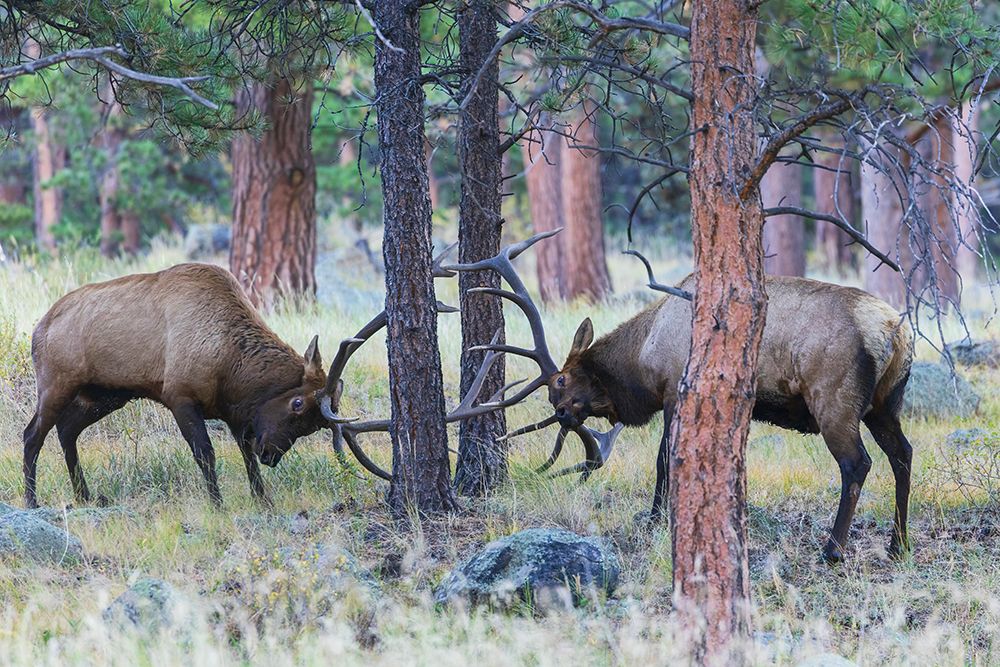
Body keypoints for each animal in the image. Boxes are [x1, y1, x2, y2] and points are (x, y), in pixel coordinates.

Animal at [445, 231, 914, 563]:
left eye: (560, 381)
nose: (561, 415)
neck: (644, 358)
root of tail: (894, 331)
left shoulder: (675, 389)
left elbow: (664, 459)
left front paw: (655, 517)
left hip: (834, 399)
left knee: (858, 463)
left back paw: (833, 549)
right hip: (884, 404)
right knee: (903, 454)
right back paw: (899, 543)